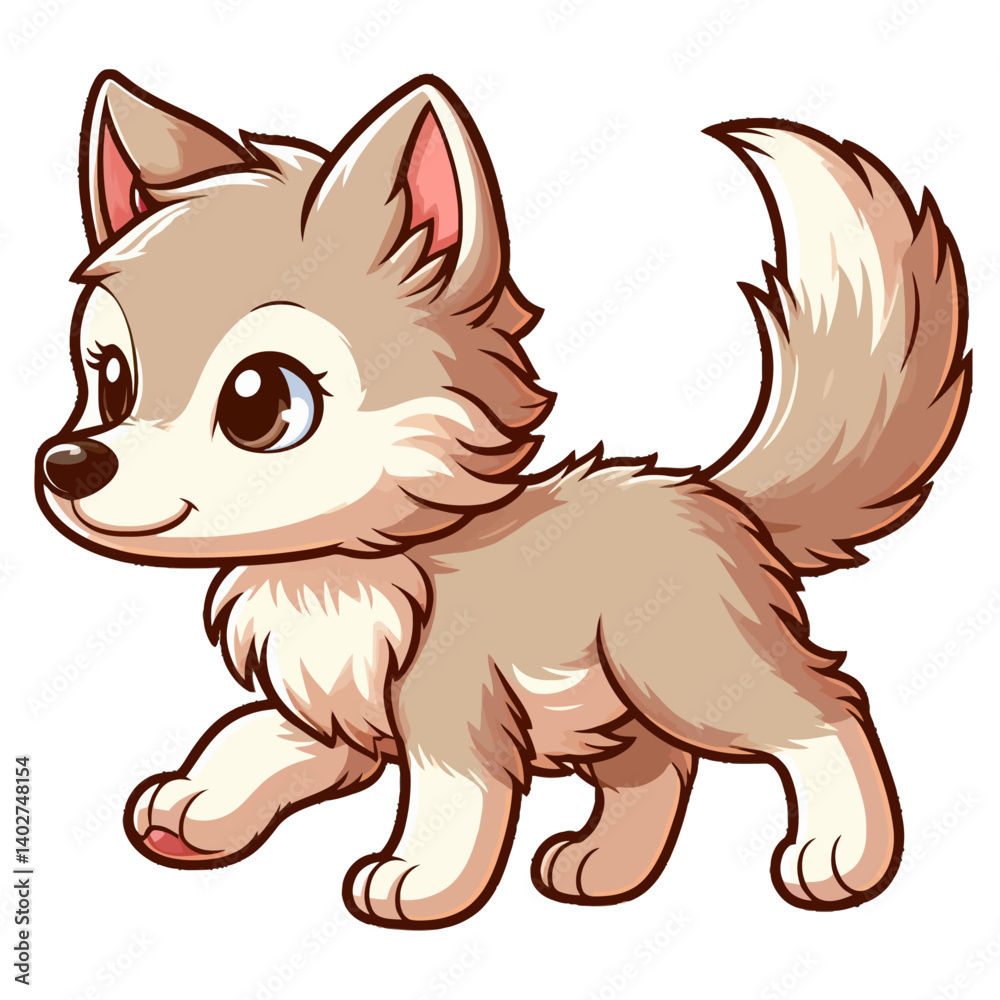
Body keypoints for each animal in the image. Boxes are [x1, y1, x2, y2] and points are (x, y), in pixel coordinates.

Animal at [36, 71, 970, 928]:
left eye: (261, 402)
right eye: (109, 379)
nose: (68, 464)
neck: (338, 574)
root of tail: (711, 496)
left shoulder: (454, 715)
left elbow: (451, 799)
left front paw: (417, 881)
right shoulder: (335, 708)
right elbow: (248, 737)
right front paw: (197, 806)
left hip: (685, 676)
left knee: (826, 712)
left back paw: (842, 855)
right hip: (621, 706)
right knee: (660, 771)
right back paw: (603, 868)